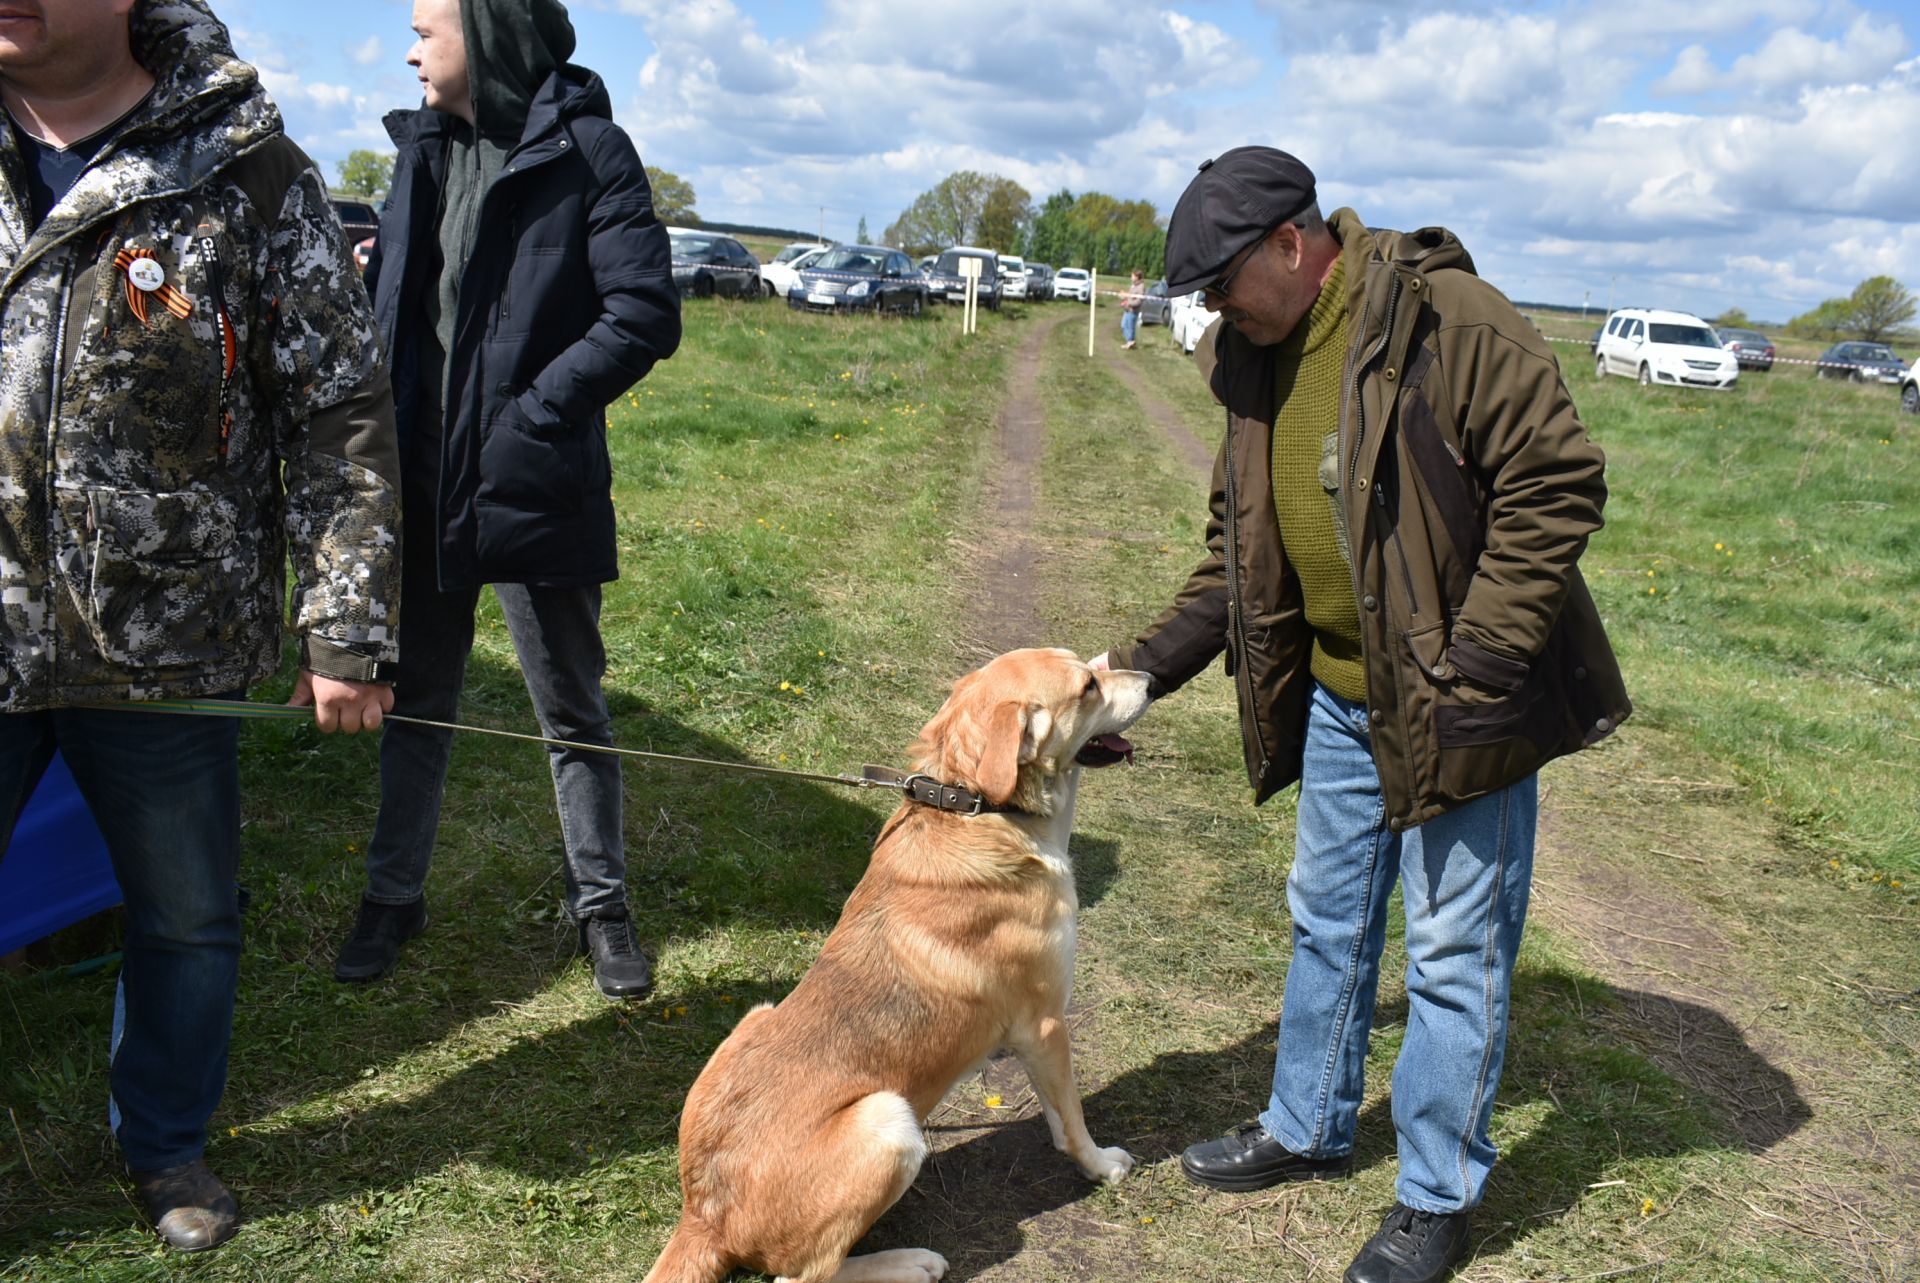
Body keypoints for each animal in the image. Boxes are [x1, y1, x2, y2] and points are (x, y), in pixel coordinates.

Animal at [645, 653, 1152, 1283]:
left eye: (1093, 668)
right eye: (1088, 687)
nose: (1151, 679)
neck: (976, 807)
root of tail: (704, 1216)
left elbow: (1058, 1117)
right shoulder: (1045, 1025)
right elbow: (1072, 1119)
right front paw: (1100, 1165)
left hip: (756, 1017)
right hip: (890, 1121)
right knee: (801, 1275)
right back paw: (909, 1262)